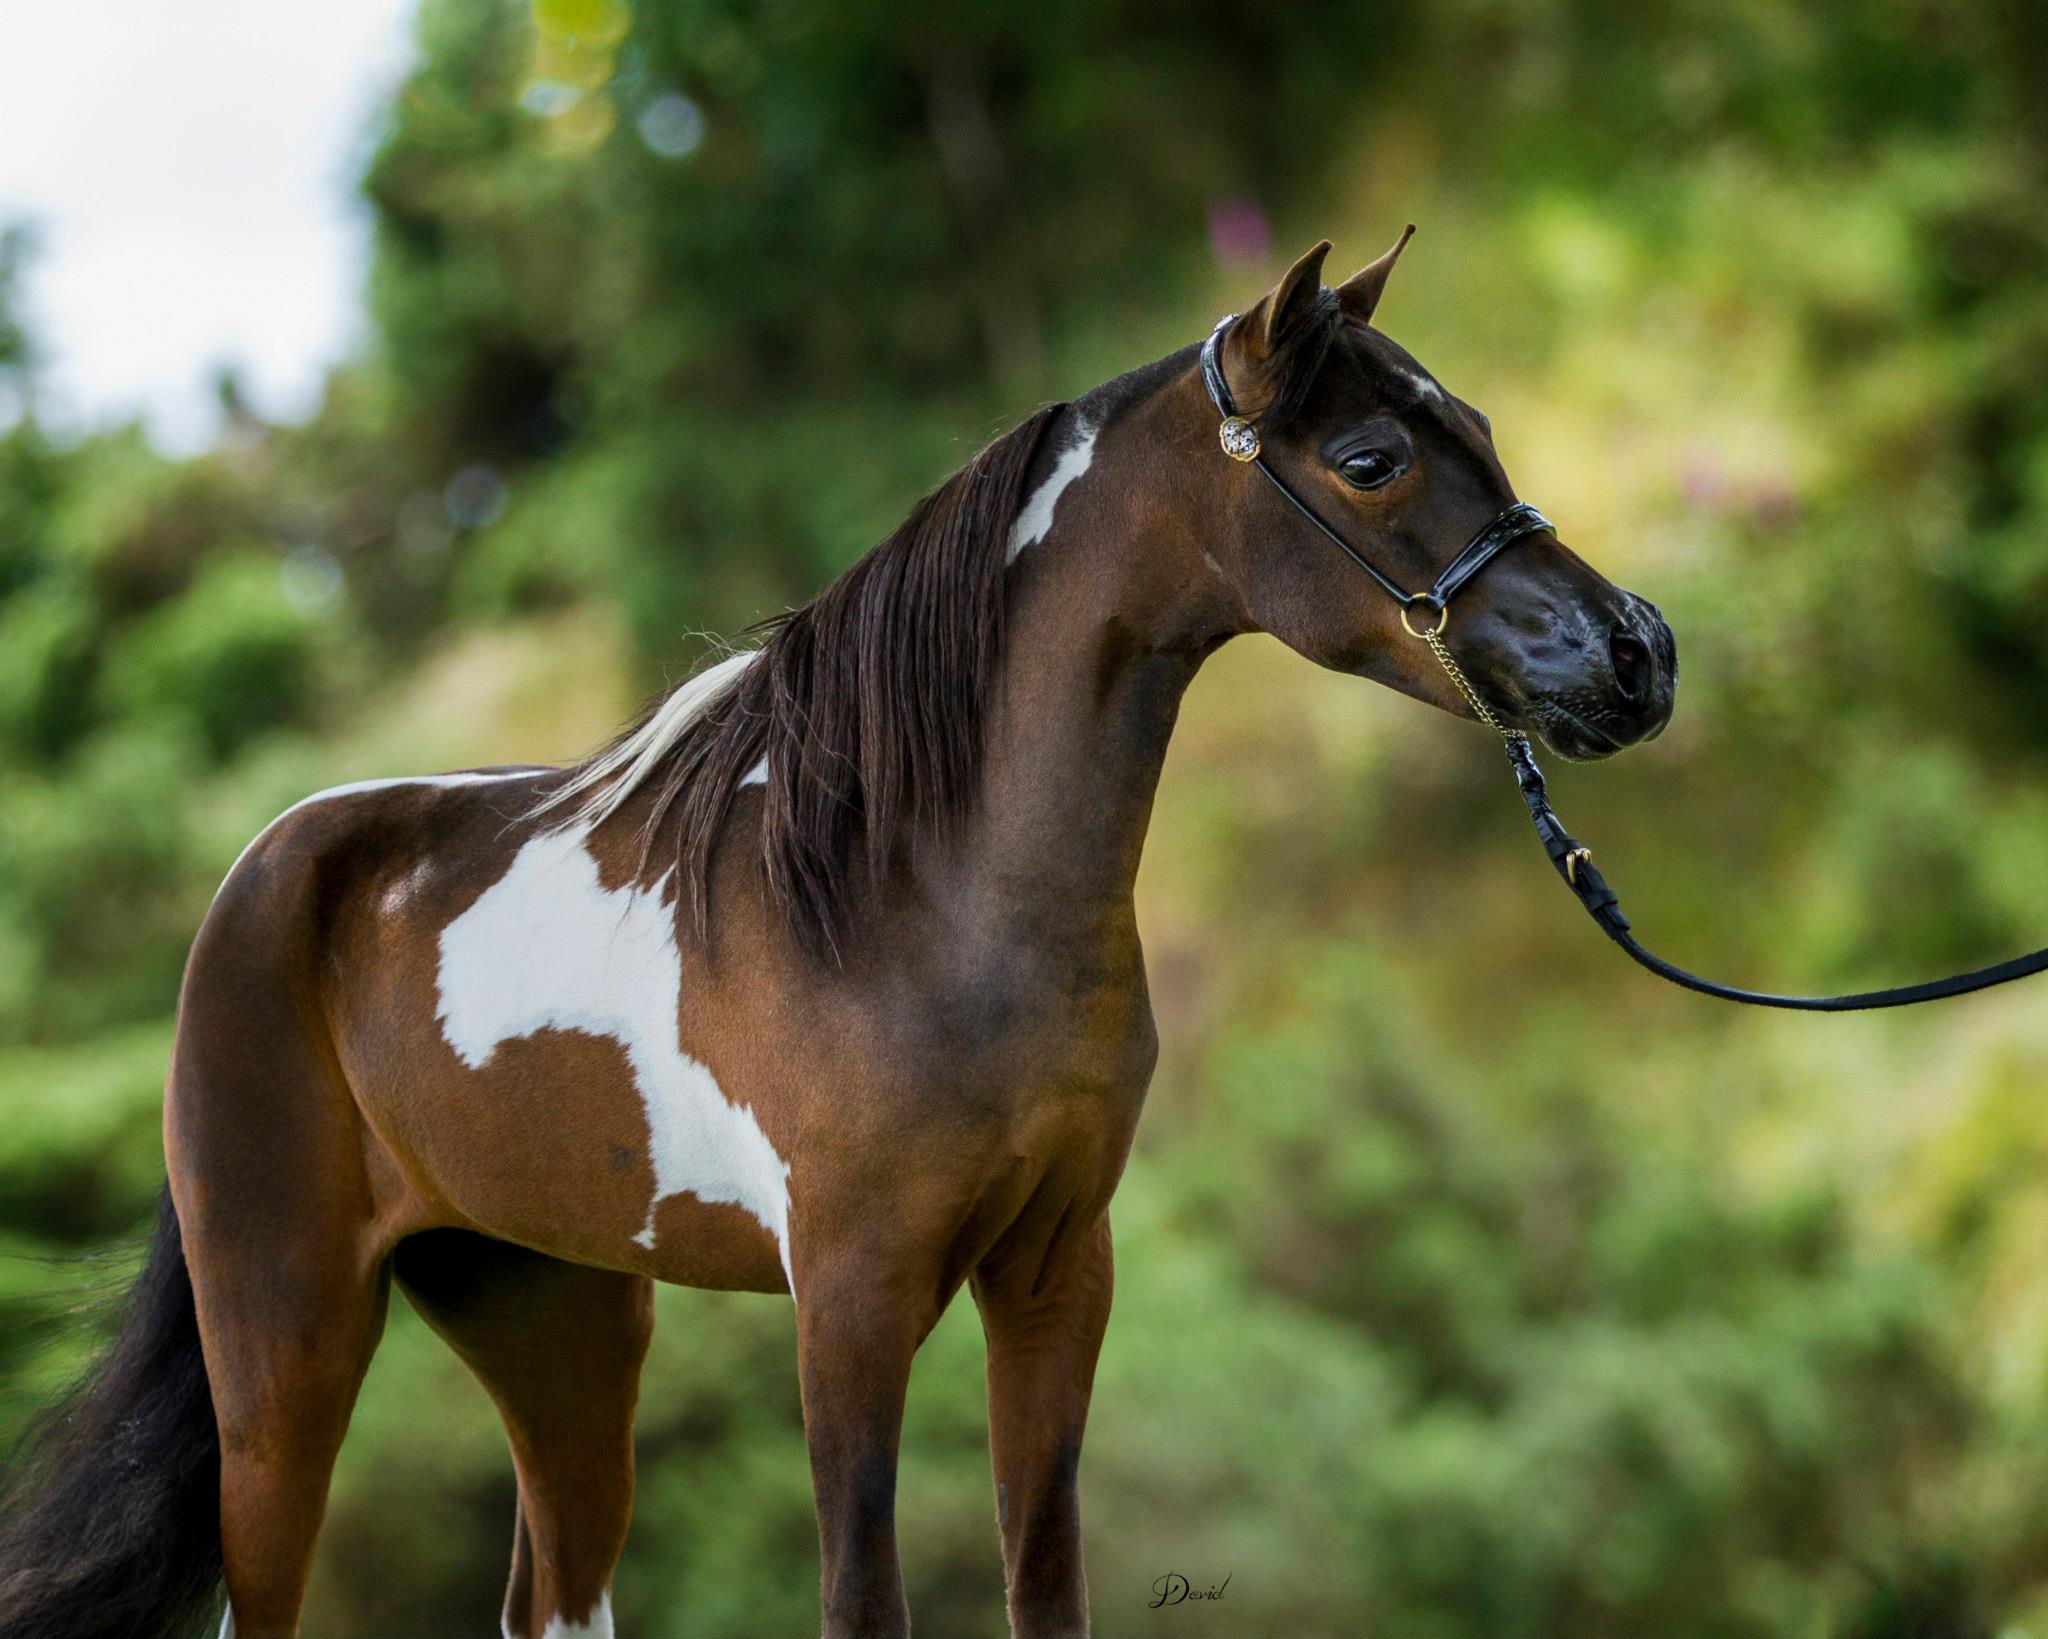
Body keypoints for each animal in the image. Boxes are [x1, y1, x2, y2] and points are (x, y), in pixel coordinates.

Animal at [0, 232, 1676, 1639]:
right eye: (1373, 457)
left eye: (1473, 426)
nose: (1637, 653)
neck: (913, 900)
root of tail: (267, 872)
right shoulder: (853, 1299)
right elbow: (863, 1593)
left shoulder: (1057, 1269)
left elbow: (1041, 1573)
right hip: (283, 1354)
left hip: (554, 1316)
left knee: (555, 1587)